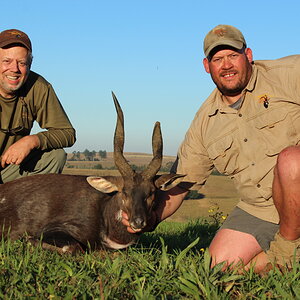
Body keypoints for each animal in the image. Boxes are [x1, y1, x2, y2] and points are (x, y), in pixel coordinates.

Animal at [0, 93, 183, 253]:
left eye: (152, 192)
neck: (104, 212)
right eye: (124, 192)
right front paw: (27, 240)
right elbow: (72, 247)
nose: (138, 222)